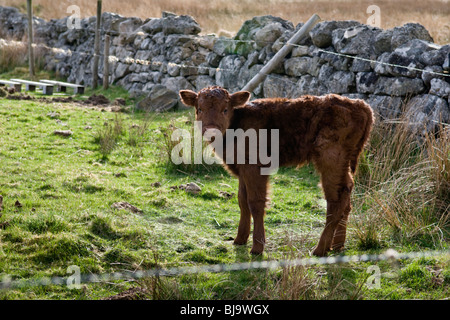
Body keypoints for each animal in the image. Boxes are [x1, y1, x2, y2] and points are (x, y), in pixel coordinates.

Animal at [178, 86, 372, 256]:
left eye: (225, 109)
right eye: (199, 109)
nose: (211, 131)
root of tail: (359, 104)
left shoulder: (254, 167)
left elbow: (255, 203)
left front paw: (257, 247)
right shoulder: (242, 168)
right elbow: (242, 200)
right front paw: (239, 239)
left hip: (330, 158)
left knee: (335, 200)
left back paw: (320, 249)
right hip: (344, 163)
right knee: (347, 194)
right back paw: (338, 245)